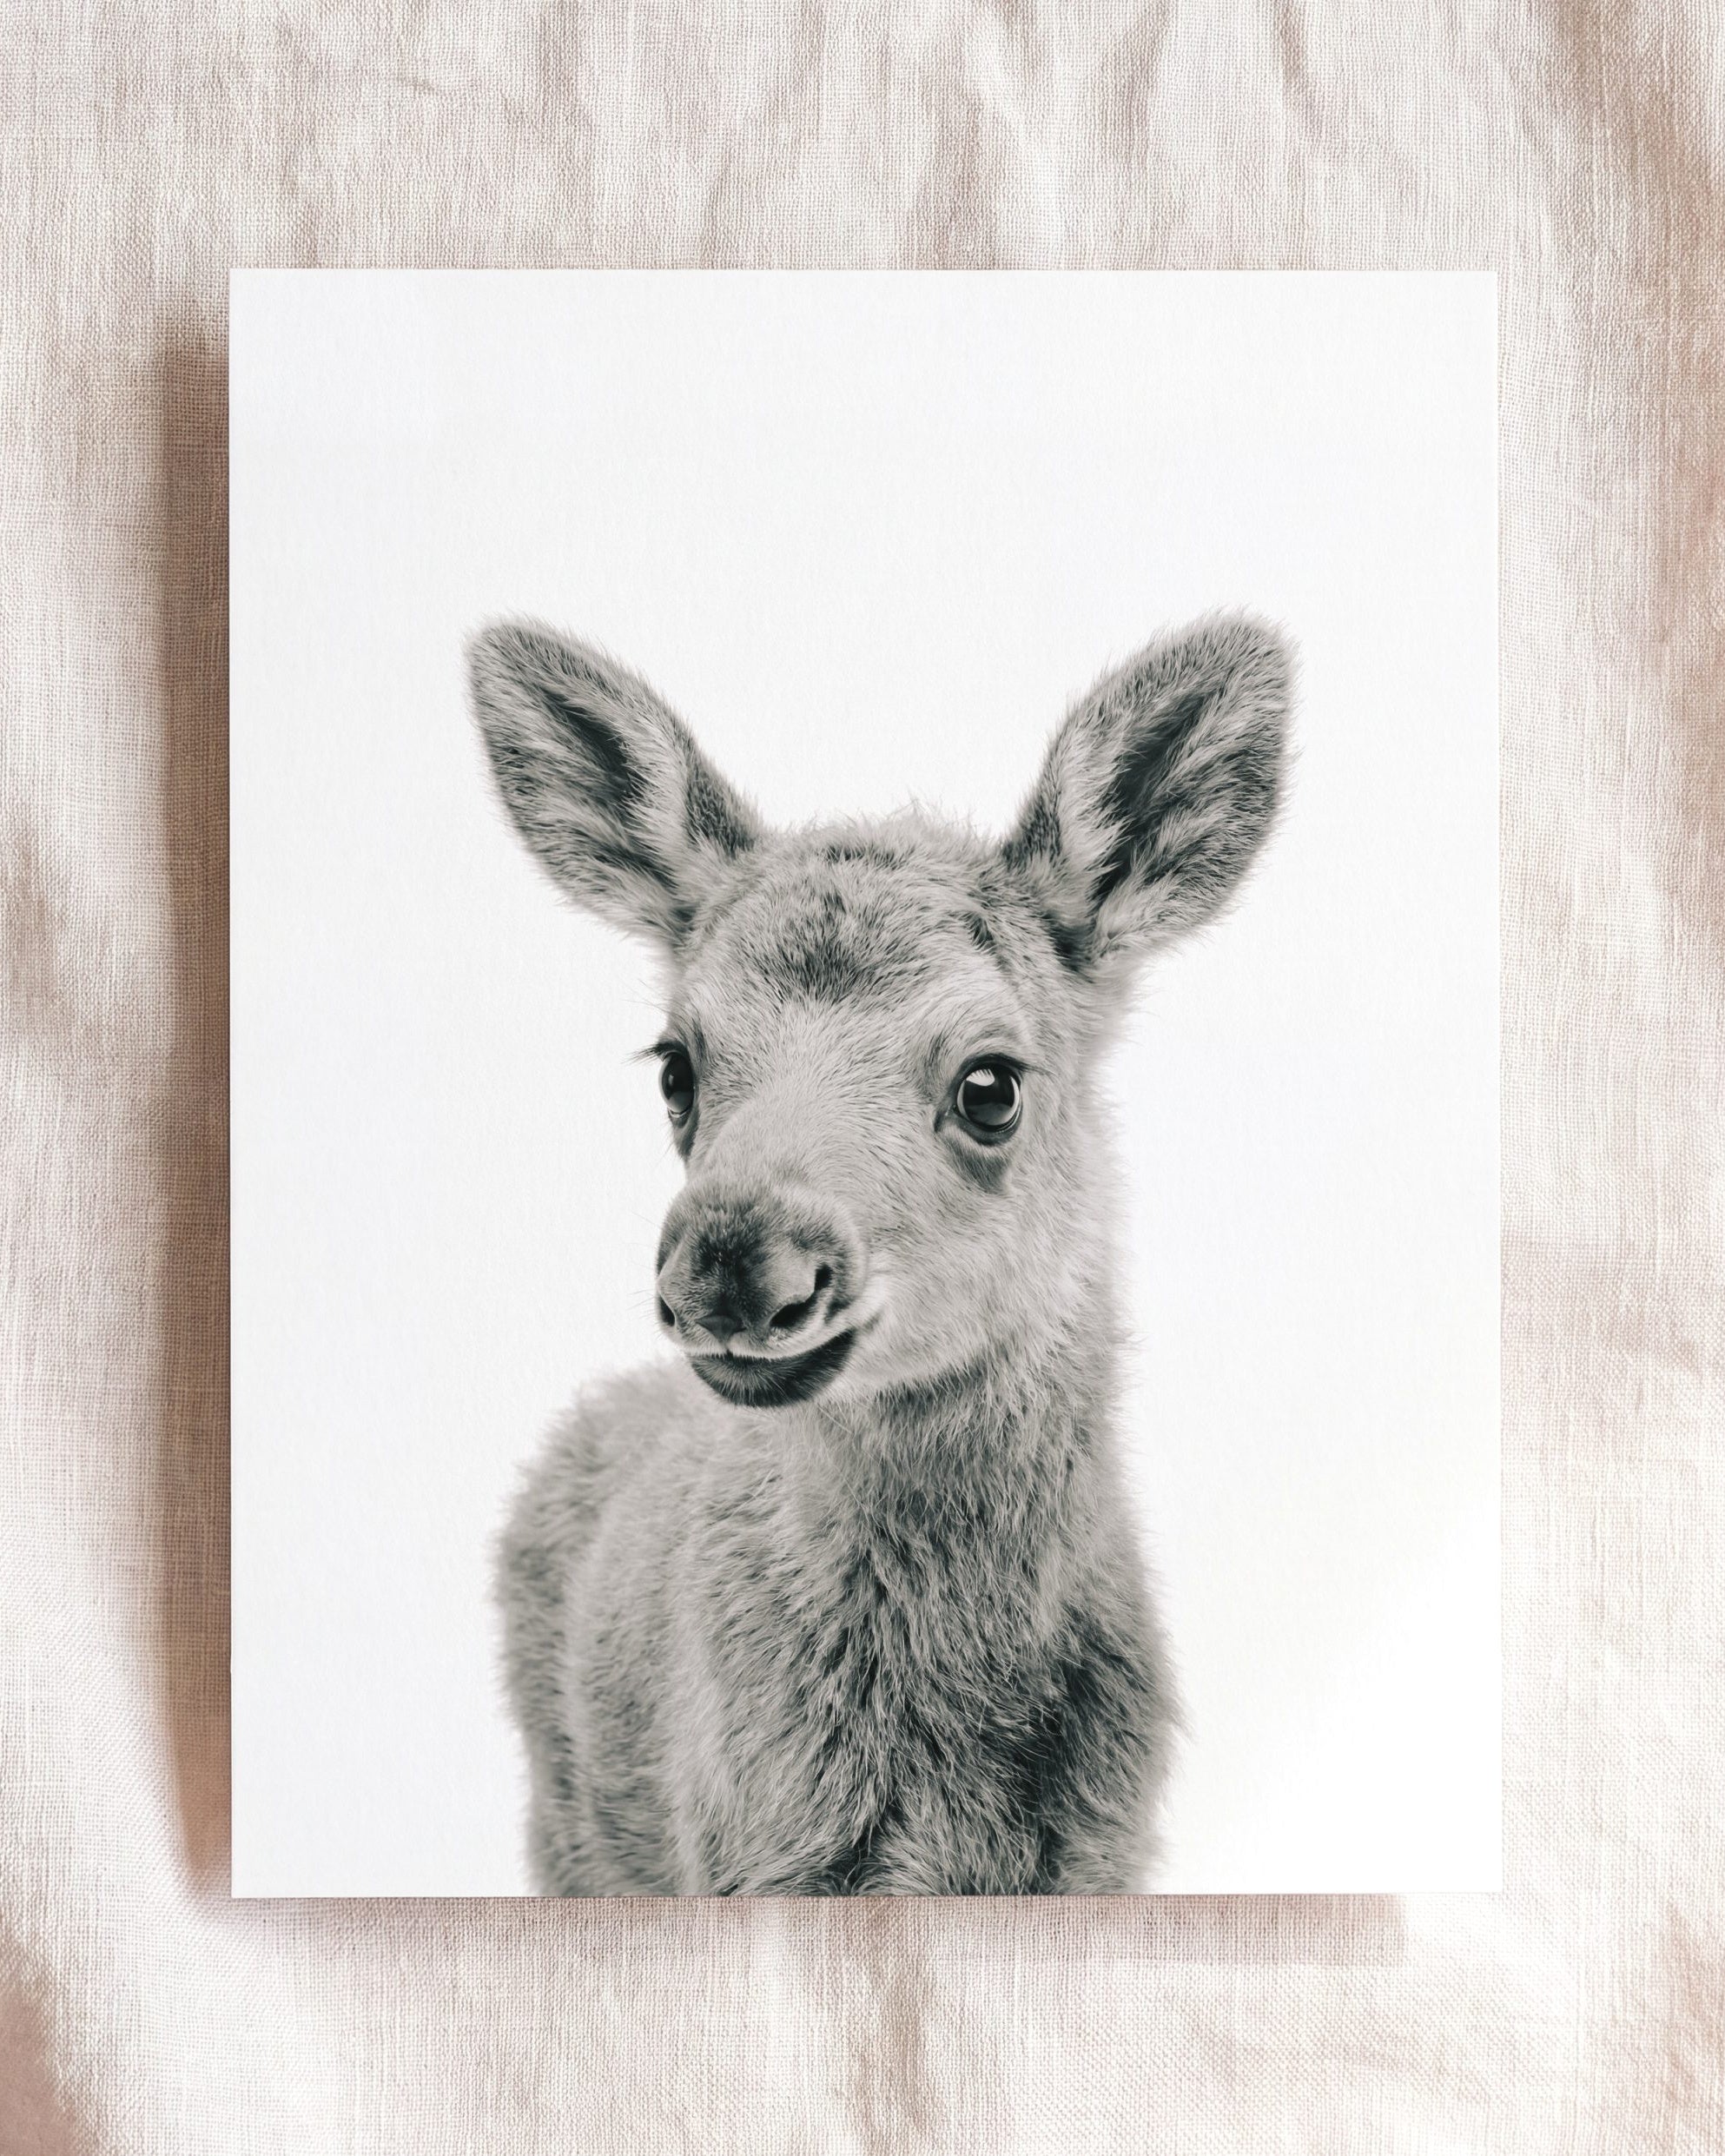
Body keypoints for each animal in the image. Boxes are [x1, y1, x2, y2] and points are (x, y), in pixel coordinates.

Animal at [469, 610, 1292, 1895]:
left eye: (991, 1084)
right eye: (676, 1068)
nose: (734, 1262)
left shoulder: (1102, 1856)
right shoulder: (745, 1852)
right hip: (568, 1821)